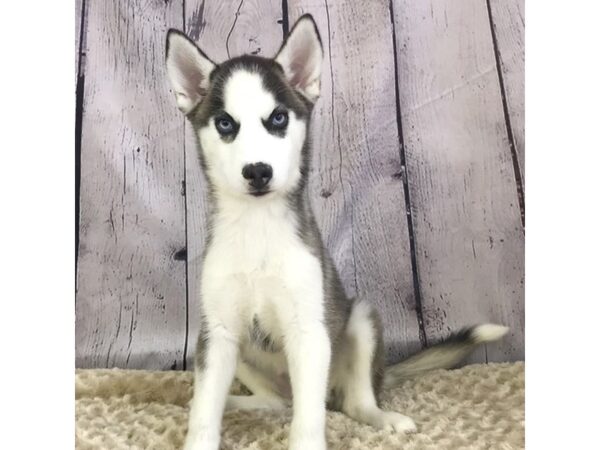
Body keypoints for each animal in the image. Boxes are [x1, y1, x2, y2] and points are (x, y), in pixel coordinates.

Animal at [164, 14, 506, 450]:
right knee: (275, 402)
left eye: (278, 118)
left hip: (359, 320)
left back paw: (384, 417)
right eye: (225, 123)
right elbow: (205, 414)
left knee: (349, 404)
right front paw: (202, 422)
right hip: (239, 353)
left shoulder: (310, 331)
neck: (258, 229)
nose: (257, 172)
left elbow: (309, 422)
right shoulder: (218, 333)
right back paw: (234, 403)